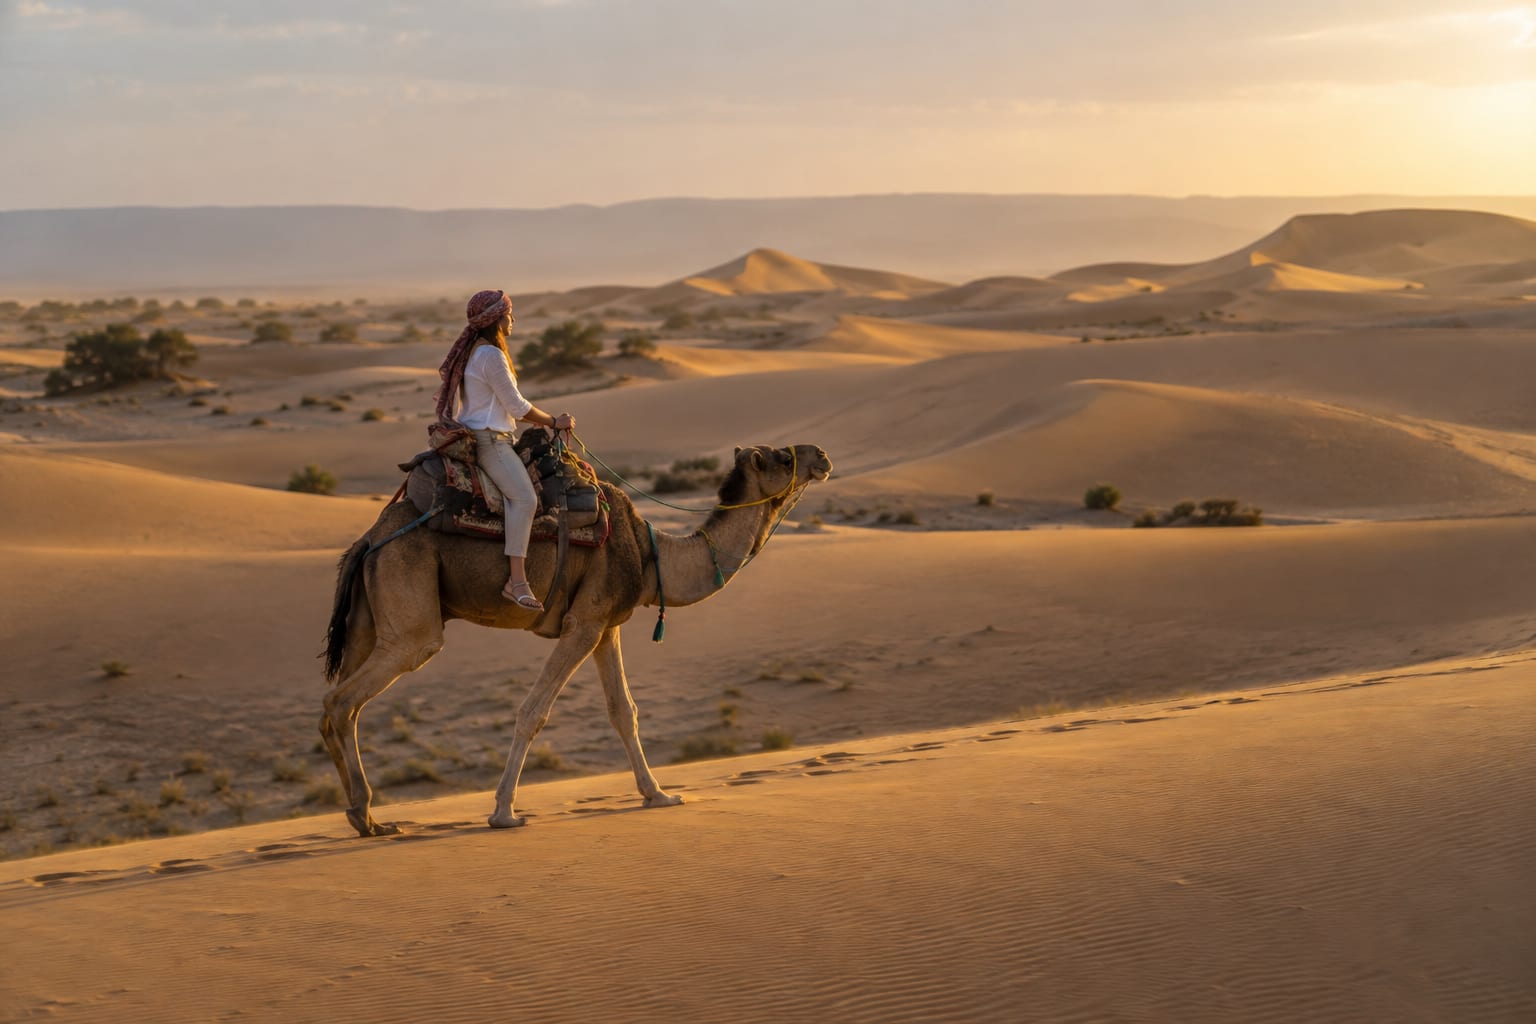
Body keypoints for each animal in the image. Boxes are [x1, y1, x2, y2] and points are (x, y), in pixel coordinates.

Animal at [320, 442, 833, 837]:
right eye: (782, 458)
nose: (822, 457)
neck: (652, 555)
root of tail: (369, 540)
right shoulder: (582, 624)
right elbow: (533, 712)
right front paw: (504, 812)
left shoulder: (606, 624)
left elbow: (624, 711)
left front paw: (659, 795)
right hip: (412, 616)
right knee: (346, 698)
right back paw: (365, 814)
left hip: (368, 621)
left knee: (338, 705)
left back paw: (363, 817)